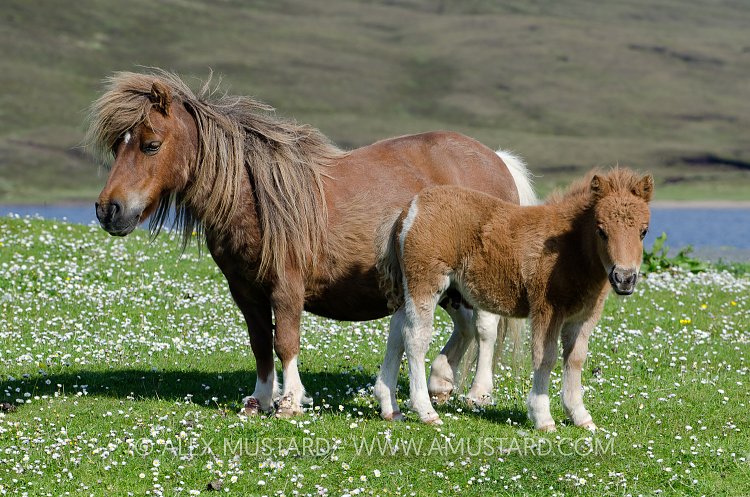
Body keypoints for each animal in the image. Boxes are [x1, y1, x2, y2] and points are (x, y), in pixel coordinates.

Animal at [87, 69, 536, 417]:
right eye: (117, 145)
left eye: (151, 145)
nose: (108, 210)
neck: (256, 197)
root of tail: (496, 160)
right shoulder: (245, 291)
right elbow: (259, 343)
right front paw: (259, 400)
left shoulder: (287, 285)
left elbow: (285, 340)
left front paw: (289, 401)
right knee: (463, 324)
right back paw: (441, 382)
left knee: (484, 327)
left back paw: (477, 393)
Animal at [374, 168, 652, 429]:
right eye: (601, 230)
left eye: (644, 232)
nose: (624, 278)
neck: (569, 249)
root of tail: (412, 208)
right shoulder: (547, 309)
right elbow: (545, 357)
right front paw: (543, 418)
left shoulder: (583, 316)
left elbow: (575, 359)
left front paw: (580, 416)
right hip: (426, 282)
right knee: (415, 338)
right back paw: (426, 412)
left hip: (411, 289)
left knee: (397, 331)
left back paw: (390, 408)